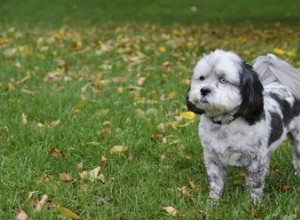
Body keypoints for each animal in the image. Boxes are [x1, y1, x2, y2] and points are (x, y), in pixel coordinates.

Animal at [186, 49, 300, 203]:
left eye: (223, 79)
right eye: (202, 78)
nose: (203, 90)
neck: (226, 124)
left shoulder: (256, 159)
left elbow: (255, 182)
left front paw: (254, 202)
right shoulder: (212, 156)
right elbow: (216, 181)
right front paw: (213, 201)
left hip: (297, 139)